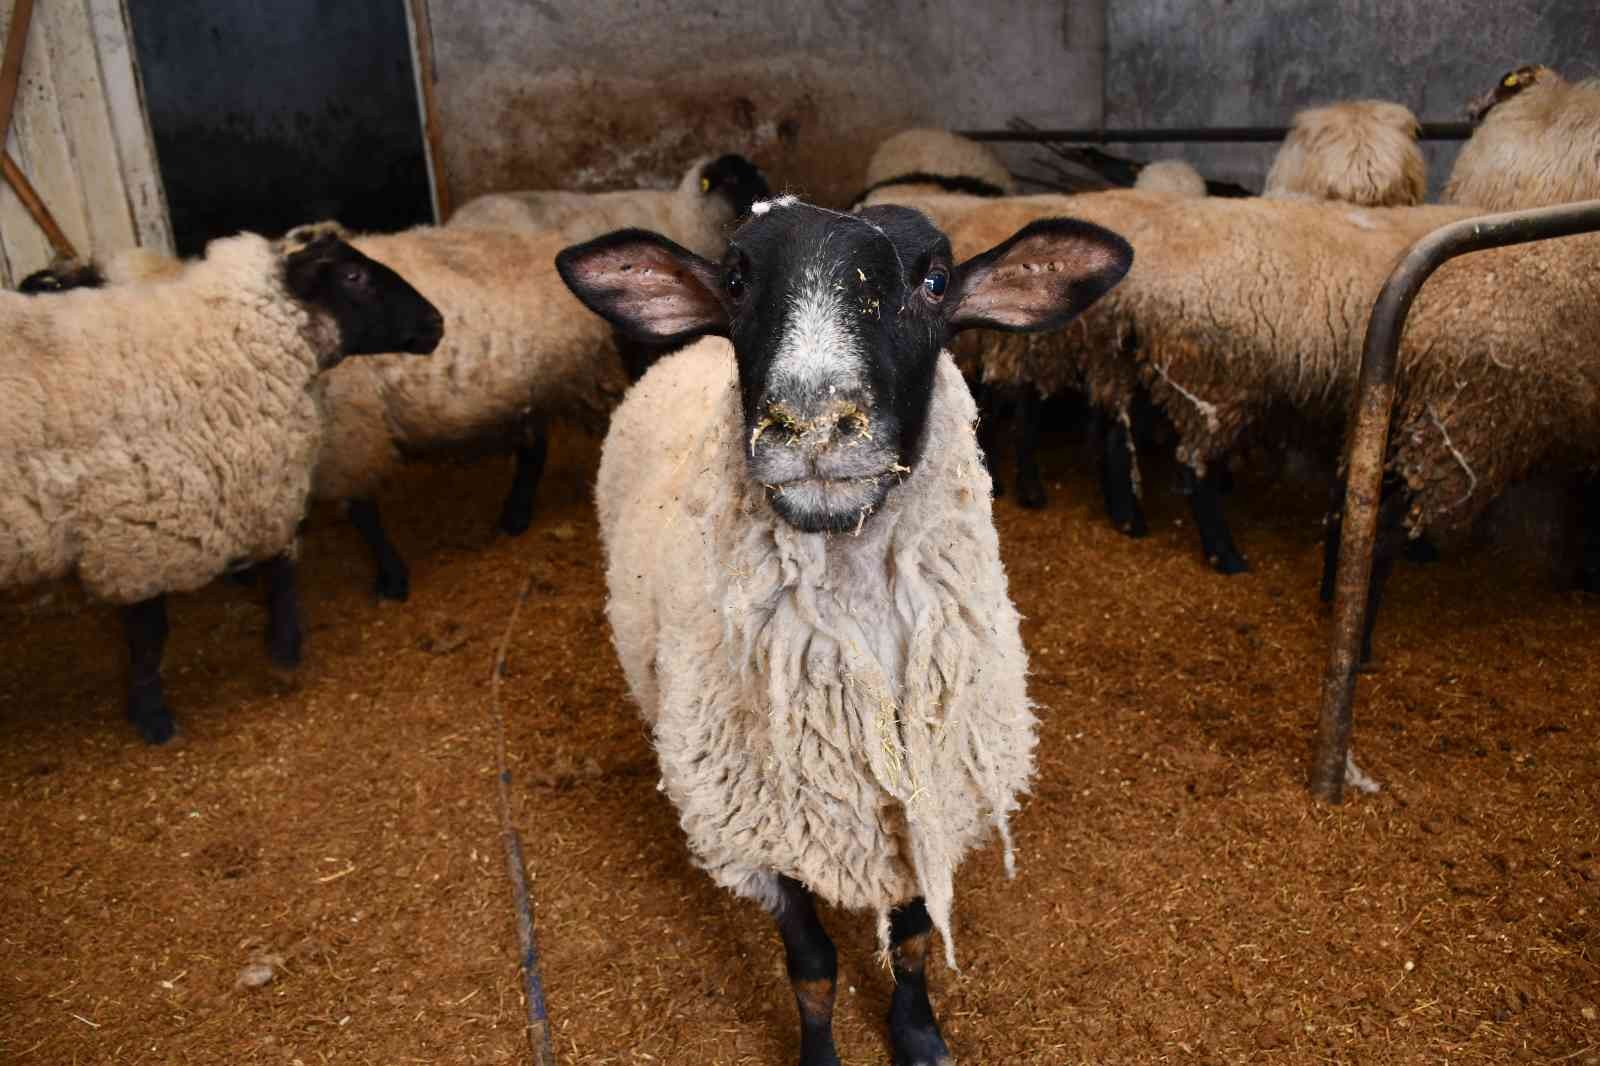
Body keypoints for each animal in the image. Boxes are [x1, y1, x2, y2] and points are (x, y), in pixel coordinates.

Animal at [0, 230, 441, 745]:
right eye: (354, 276)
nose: (437, 322)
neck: (229, 339)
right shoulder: (142, 528)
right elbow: (154, 632)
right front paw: (156, 713)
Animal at [560, 195, 1139, 1056]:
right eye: (735, 281)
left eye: (936, 281)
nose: (810, 423)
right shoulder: (763, 833)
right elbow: (813, 968)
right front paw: (822, 1051)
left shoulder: (927, 797)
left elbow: (915, 939)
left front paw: (920, 1035)